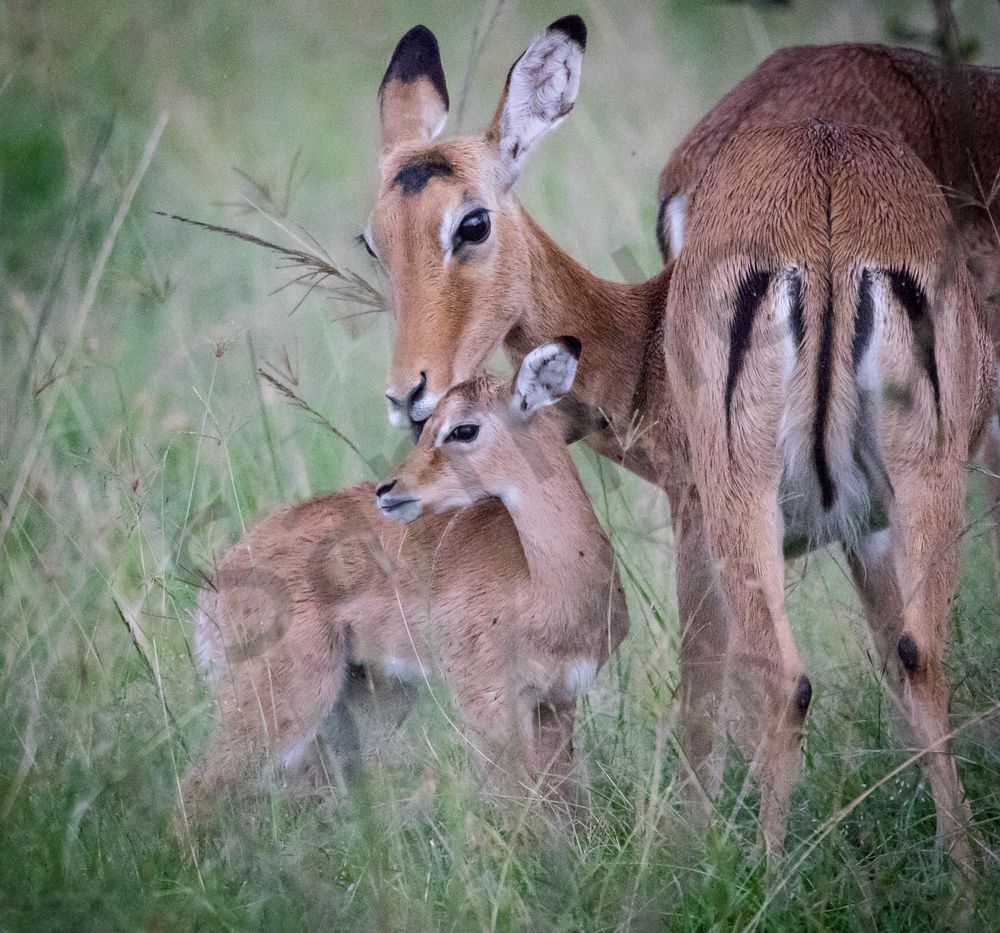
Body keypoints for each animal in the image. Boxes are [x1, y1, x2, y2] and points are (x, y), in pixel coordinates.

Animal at [181, 340, 629, 822]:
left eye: (463, 429)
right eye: (426, 425)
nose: (388, 489)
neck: (546, 584)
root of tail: (217, 578)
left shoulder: (556, 701)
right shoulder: (488, 703)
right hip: (281, 703)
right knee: (195, 792)